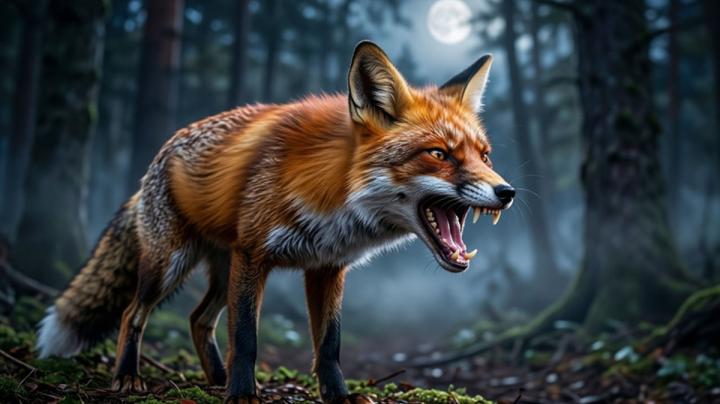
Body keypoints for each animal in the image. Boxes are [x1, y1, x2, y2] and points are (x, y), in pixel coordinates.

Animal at [36, 41, 515, 403]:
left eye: (485, 156)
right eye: (439, 154)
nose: (507, 192)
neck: (336, 195)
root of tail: (156, 159)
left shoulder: (327, 268)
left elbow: (329, 344)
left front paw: (337, 397)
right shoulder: (254, 256)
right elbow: (247, 337)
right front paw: (243, 395)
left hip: (221, 272)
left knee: (198, 319)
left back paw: (215, 379)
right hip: (170, 266)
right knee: (132, 314)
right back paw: (129, 376)